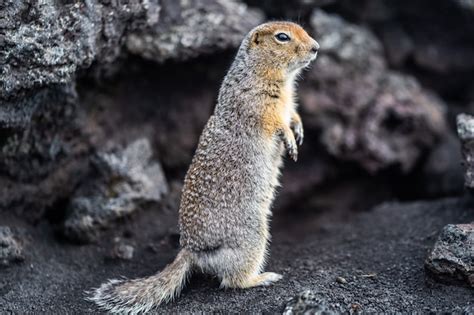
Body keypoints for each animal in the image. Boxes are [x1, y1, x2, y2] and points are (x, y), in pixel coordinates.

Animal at [89, 21, 318, 314]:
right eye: (282, 37)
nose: (316, 47)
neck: (276, 77)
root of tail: (191, 251)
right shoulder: (259, 105)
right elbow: (274, 122)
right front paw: (289, 138)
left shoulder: (288, 102)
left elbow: (292, 115)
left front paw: (298, 130)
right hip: (252, 237)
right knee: (232, 281)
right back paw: (263, 277)